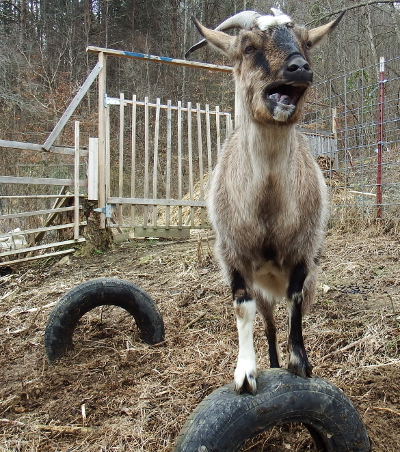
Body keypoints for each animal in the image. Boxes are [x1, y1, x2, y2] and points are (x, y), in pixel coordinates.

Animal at [186, 7, 346, 396]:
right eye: (247, 47)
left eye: (306, 43)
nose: (299, 67)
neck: (268, 207)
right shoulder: (232, 255)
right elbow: (241, 309)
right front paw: (245, 374)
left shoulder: (304, 252)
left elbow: (296, 303)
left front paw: (299, 363)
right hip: (263, 291)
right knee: (269, 325)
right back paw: (270, 362)